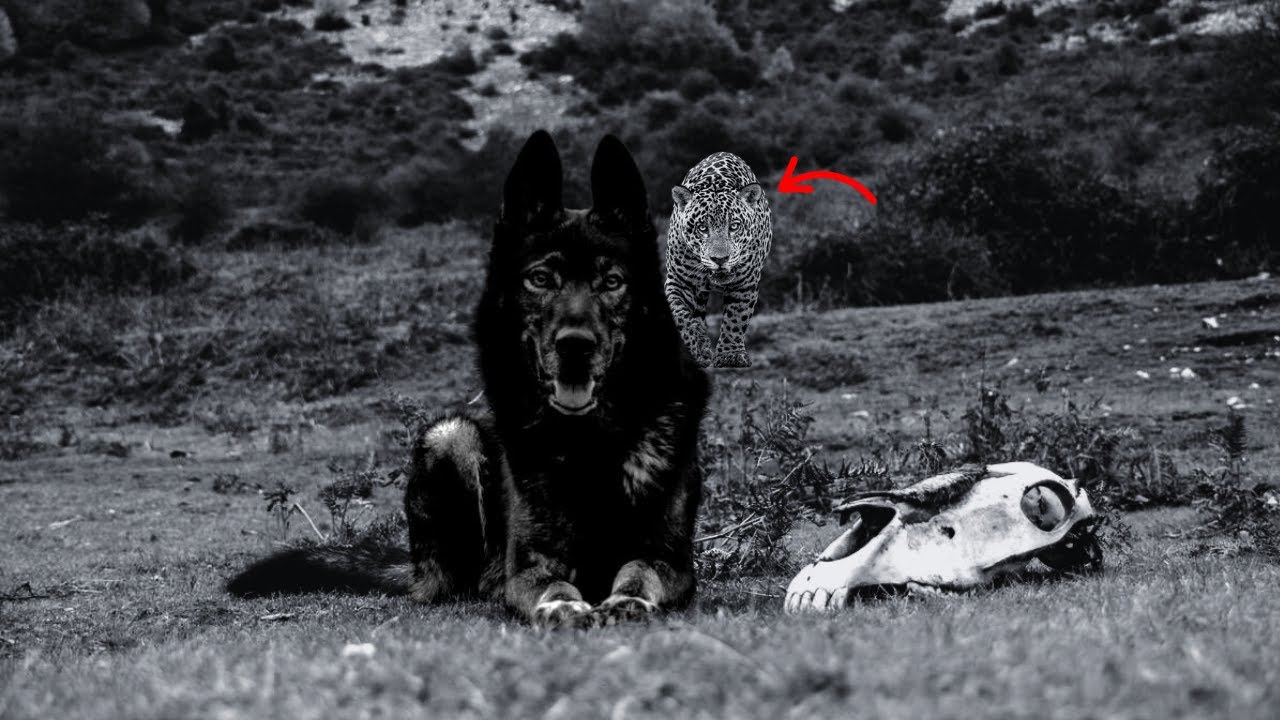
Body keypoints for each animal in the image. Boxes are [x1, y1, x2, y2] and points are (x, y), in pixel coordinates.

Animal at [665, 152, 772, 368]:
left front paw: (731, 355)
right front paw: (698, 347)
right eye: (702, 228)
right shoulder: (678, 280)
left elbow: (736, 318)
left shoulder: (745, 283)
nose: (720, 259)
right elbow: (679, 313)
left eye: (734, 226)